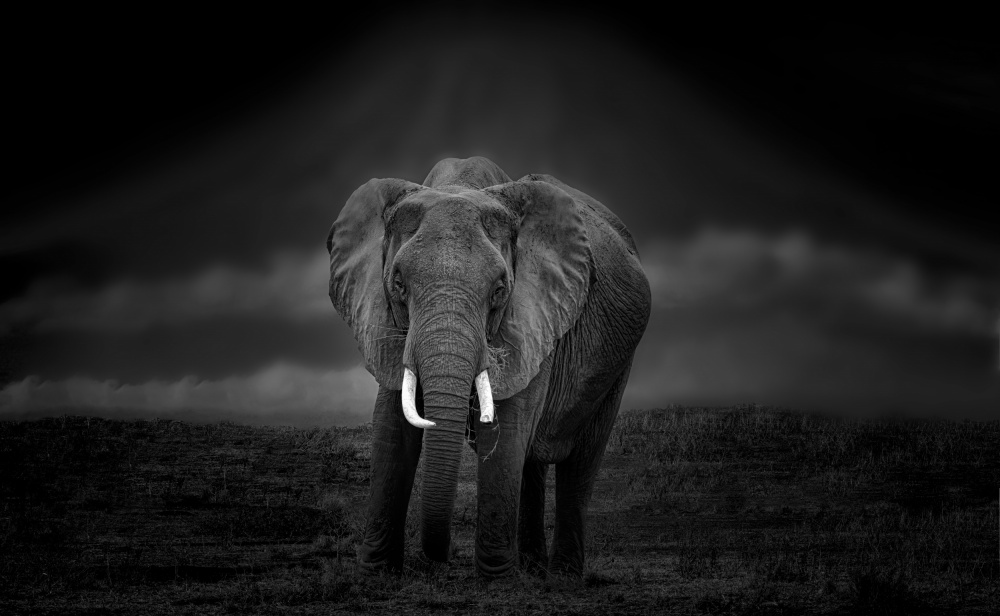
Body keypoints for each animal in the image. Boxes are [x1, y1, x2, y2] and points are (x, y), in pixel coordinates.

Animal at [327, 156, 650, 578]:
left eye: (499, 290)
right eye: (397, 282)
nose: (443, 555)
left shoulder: (536, 314)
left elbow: (506, 427)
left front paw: (495, 579)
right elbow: (390, 427)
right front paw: (376, 572)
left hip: (618, 363)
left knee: (580, 462)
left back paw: (562, 575)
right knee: (531, 463)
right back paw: (532, 569)